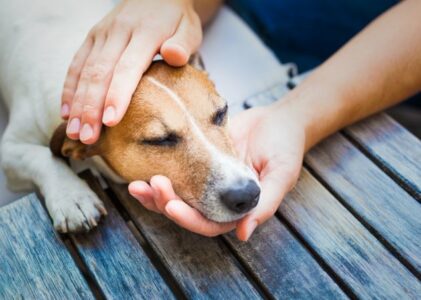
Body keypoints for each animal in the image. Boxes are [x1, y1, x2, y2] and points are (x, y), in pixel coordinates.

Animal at [0, 0, 258, 232]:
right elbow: (42, 157)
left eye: (221, 113)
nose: (247, 194)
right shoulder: (10, 149)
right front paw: (72, 197)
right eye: (159, 140)